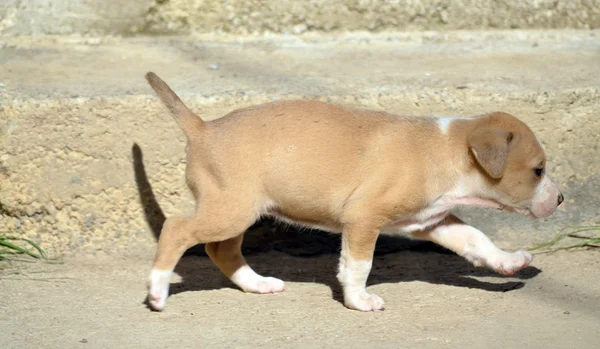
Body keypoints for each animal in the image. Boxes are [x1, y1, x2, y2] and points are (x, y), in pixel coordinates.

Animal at [144, 72, 564, 312]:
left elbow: (477, 239)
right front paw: (359, 300)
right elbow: (358, 265)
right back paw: (158, 290)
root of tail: (203, 128)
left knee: (222, 251)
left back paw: (257, 284)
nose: (560, 199)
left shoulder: (433, 221)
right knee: (177, 230)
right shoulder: (363, 219)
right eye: (538, 171)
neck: (448, 150)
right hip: (231, 211)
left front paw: (508, 262)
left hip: (239, 212)